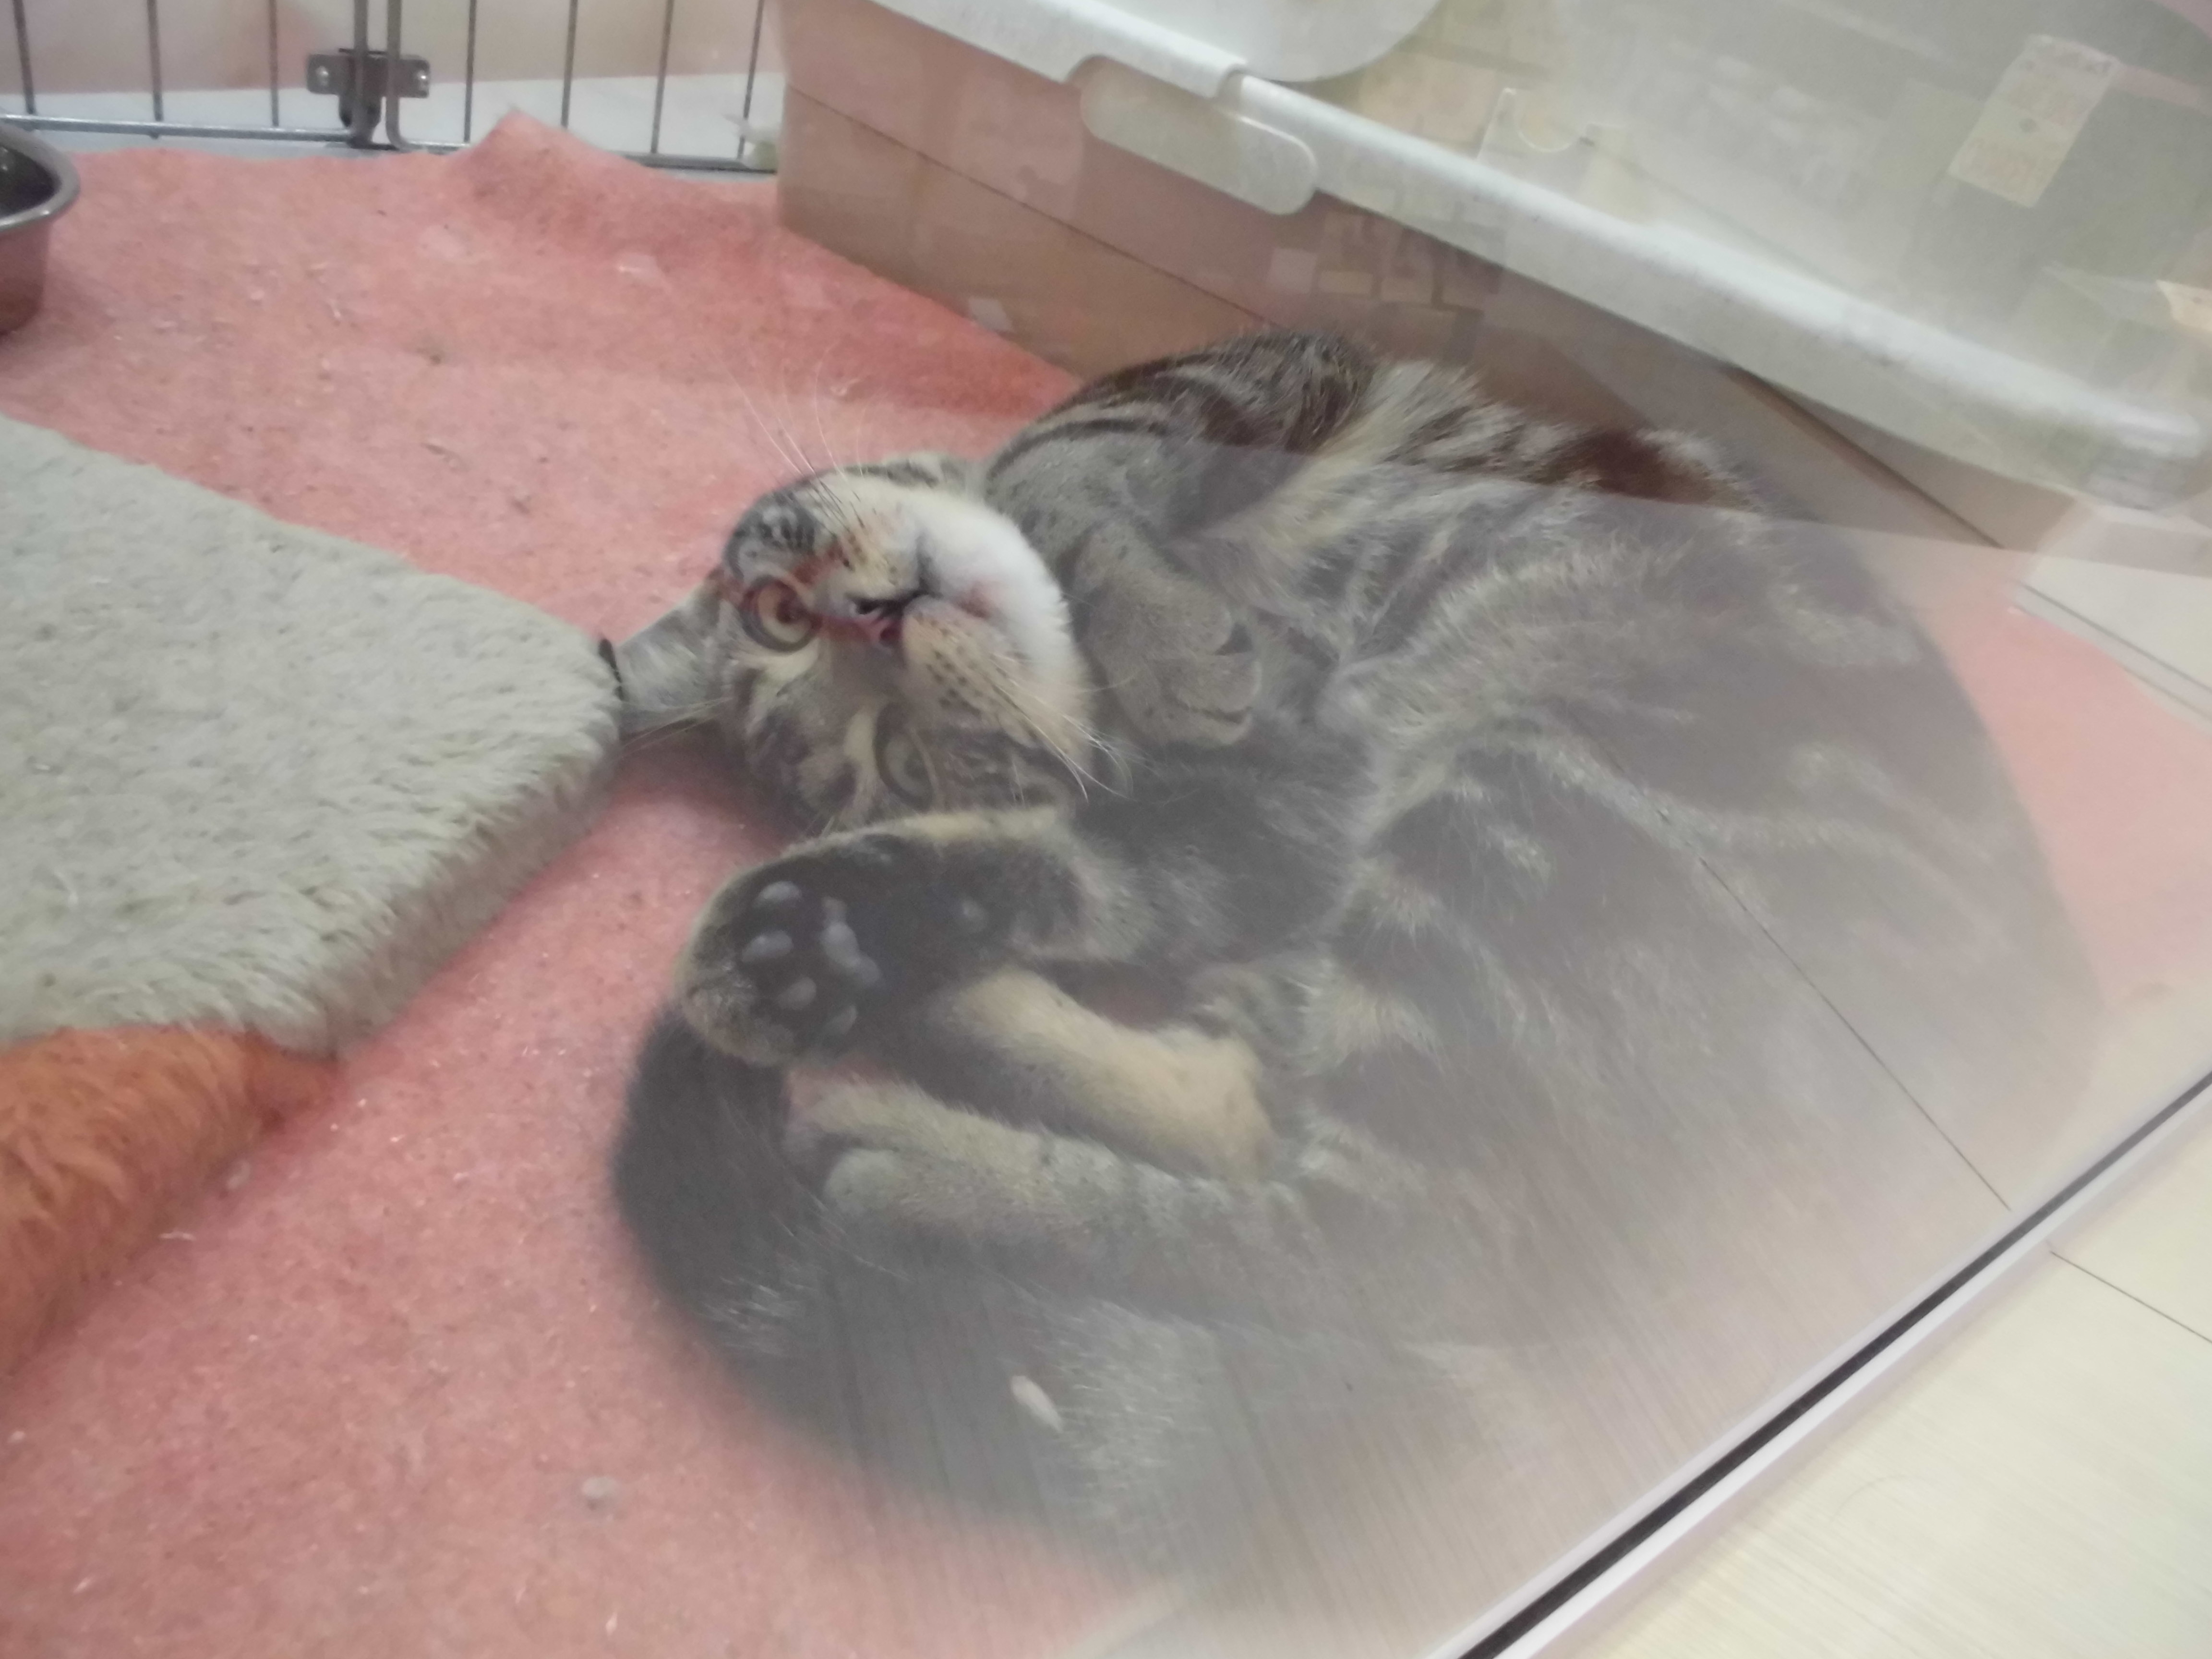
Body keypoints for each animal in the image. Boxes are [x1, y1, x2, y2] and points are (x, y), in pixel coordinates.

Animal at [609, 329, 2093, 1576]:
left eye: (780, 612)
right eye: (894, 755)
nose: (873, 619)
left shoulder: (1238, 392)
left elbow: (1062, 476)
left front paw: (1166, 644)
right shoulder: (1257, 830)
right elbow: (1071, 865)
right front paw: (825, 935)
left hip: (1530, 803)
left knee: (1341, 1198)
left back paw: (912, 1109)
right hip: (1500, 840)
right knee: (1352, 1213)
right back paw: (909, 1098)